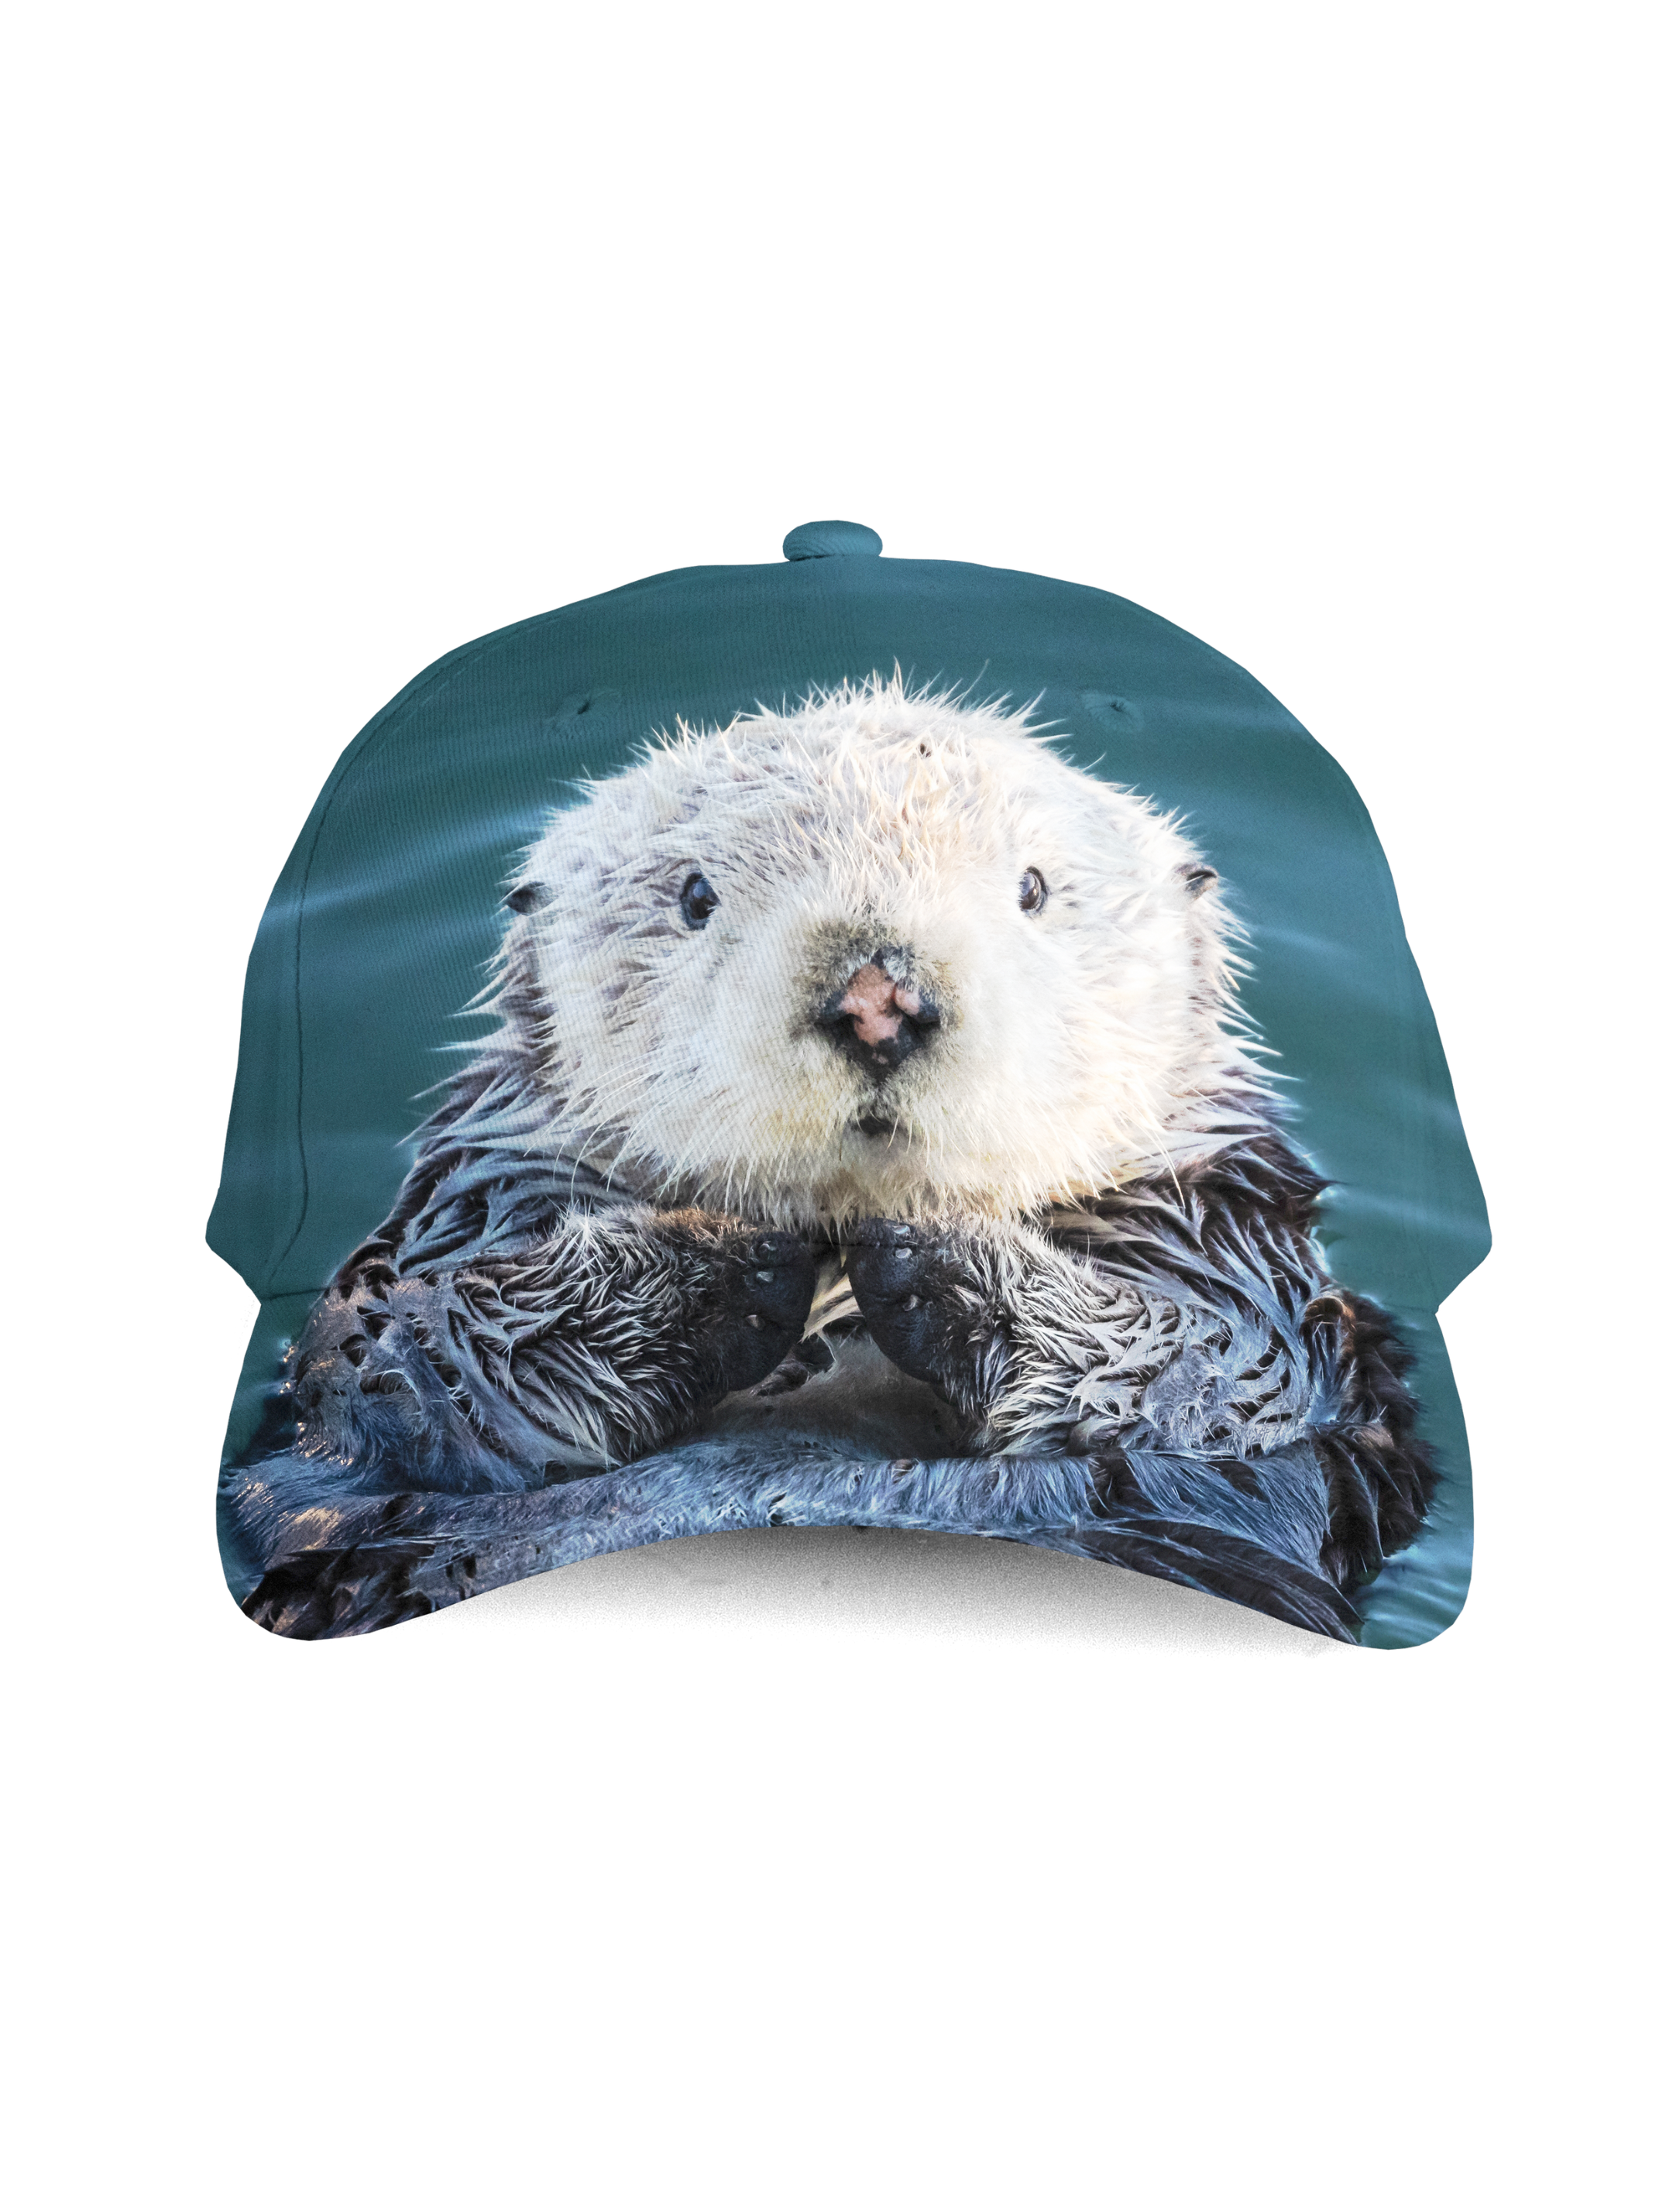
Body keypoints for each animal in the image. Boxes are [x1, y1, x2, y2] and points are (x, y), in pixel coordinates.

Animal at [232, 677, 1433, 1639]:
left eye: (1034, 889)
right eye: (695, 897)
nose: (878, 999)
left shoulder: (1248, 1271)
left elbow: (1214, 1374)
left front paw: (925, 1252)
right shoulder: (457, 1227)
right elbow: (402, 1353)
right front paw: (734, 1258)